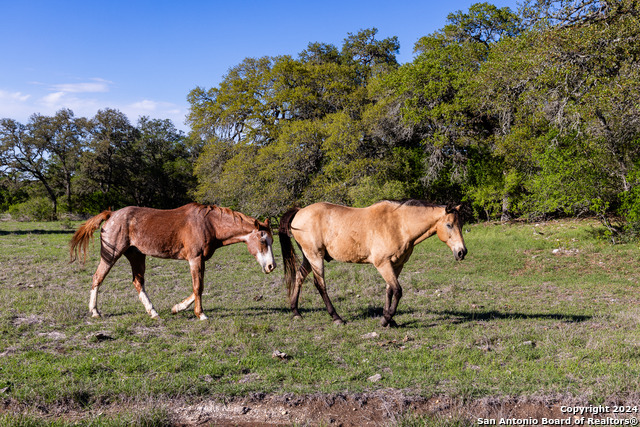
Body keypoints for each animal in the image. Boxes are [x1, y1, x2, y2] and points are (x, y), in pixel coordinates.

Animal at [70, 204, 276, 320]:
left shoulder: (201, 260)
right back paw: (95, 312)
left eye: (272, 240)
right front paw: (201, 314)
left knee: (138, 282)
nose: (271, 266)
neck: (208, 223)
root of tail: (111, 215)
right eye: (262, 240)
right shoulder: (194, 259)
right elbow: (198, 287)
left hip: (137, 256)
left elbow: (199, 287)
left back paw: (153, 312)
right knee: (97, 278)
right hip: (111, 254)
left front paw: (178, 308)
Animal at [278, 201, 468, 328]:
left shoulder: (396, 265)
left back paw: (296, 312)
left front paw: (389, 319)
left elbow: (390, 290)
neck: (398, 225)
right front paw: (386, 319)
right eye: (449, 225)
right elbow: (398, 290)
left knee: (299, 277)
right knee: (320, 285)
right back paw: (336, 317)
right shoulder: (382, 264)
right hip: (315, 256)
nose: (462, 252)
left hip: (308, 258)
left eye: (460, 224)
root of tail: (300, 211)